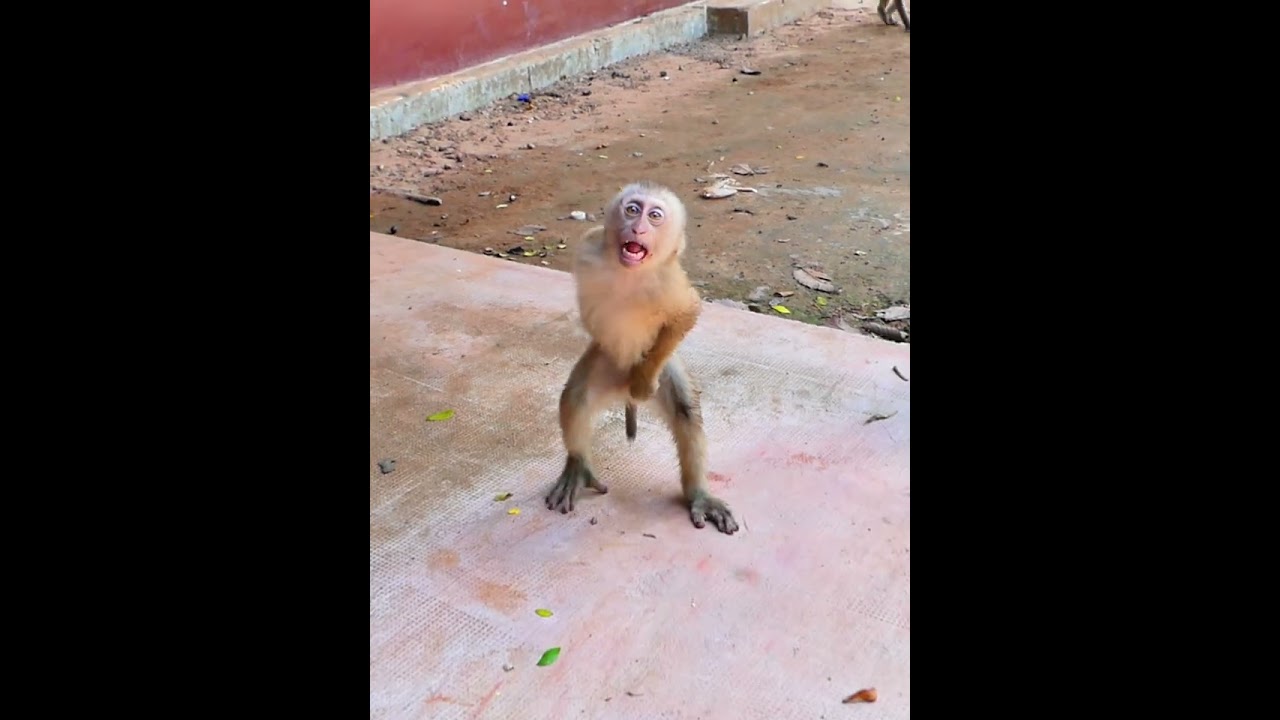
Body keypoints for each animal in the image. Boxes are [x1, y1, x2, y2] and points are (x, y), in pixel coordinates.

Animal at [544, 181, 739, 535]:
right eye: (633, 209)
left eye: (655, 216)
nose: (638, 228)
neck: (630, 273)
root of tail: (619, 386)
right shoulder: (589, 247)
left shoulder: (671, 281)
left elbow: (686, 314)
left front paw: (643, 382)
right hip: (606, 365)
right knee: (575, 396)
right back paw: (578, 464)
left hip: (661, 370)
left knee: (685, 409)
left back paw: (698, 493)